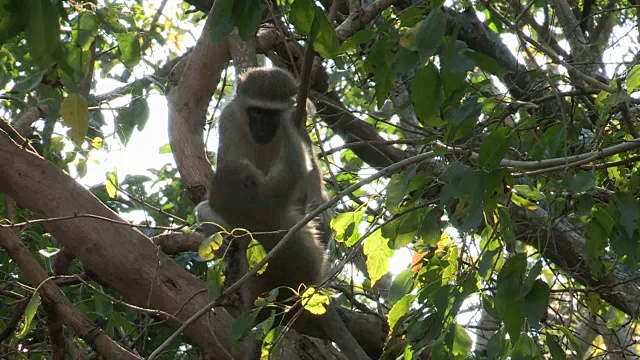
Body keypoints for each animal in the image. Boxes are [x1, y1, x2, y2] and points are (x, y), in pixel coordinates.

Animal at [195, 68, 370, 360]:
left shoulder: (301, 125)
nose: (262, 130)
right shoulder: (230, 119)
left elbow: (311, 181)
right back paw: (233, 255)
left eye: (272, 115)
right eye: (256, 112)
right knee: (206, 211)